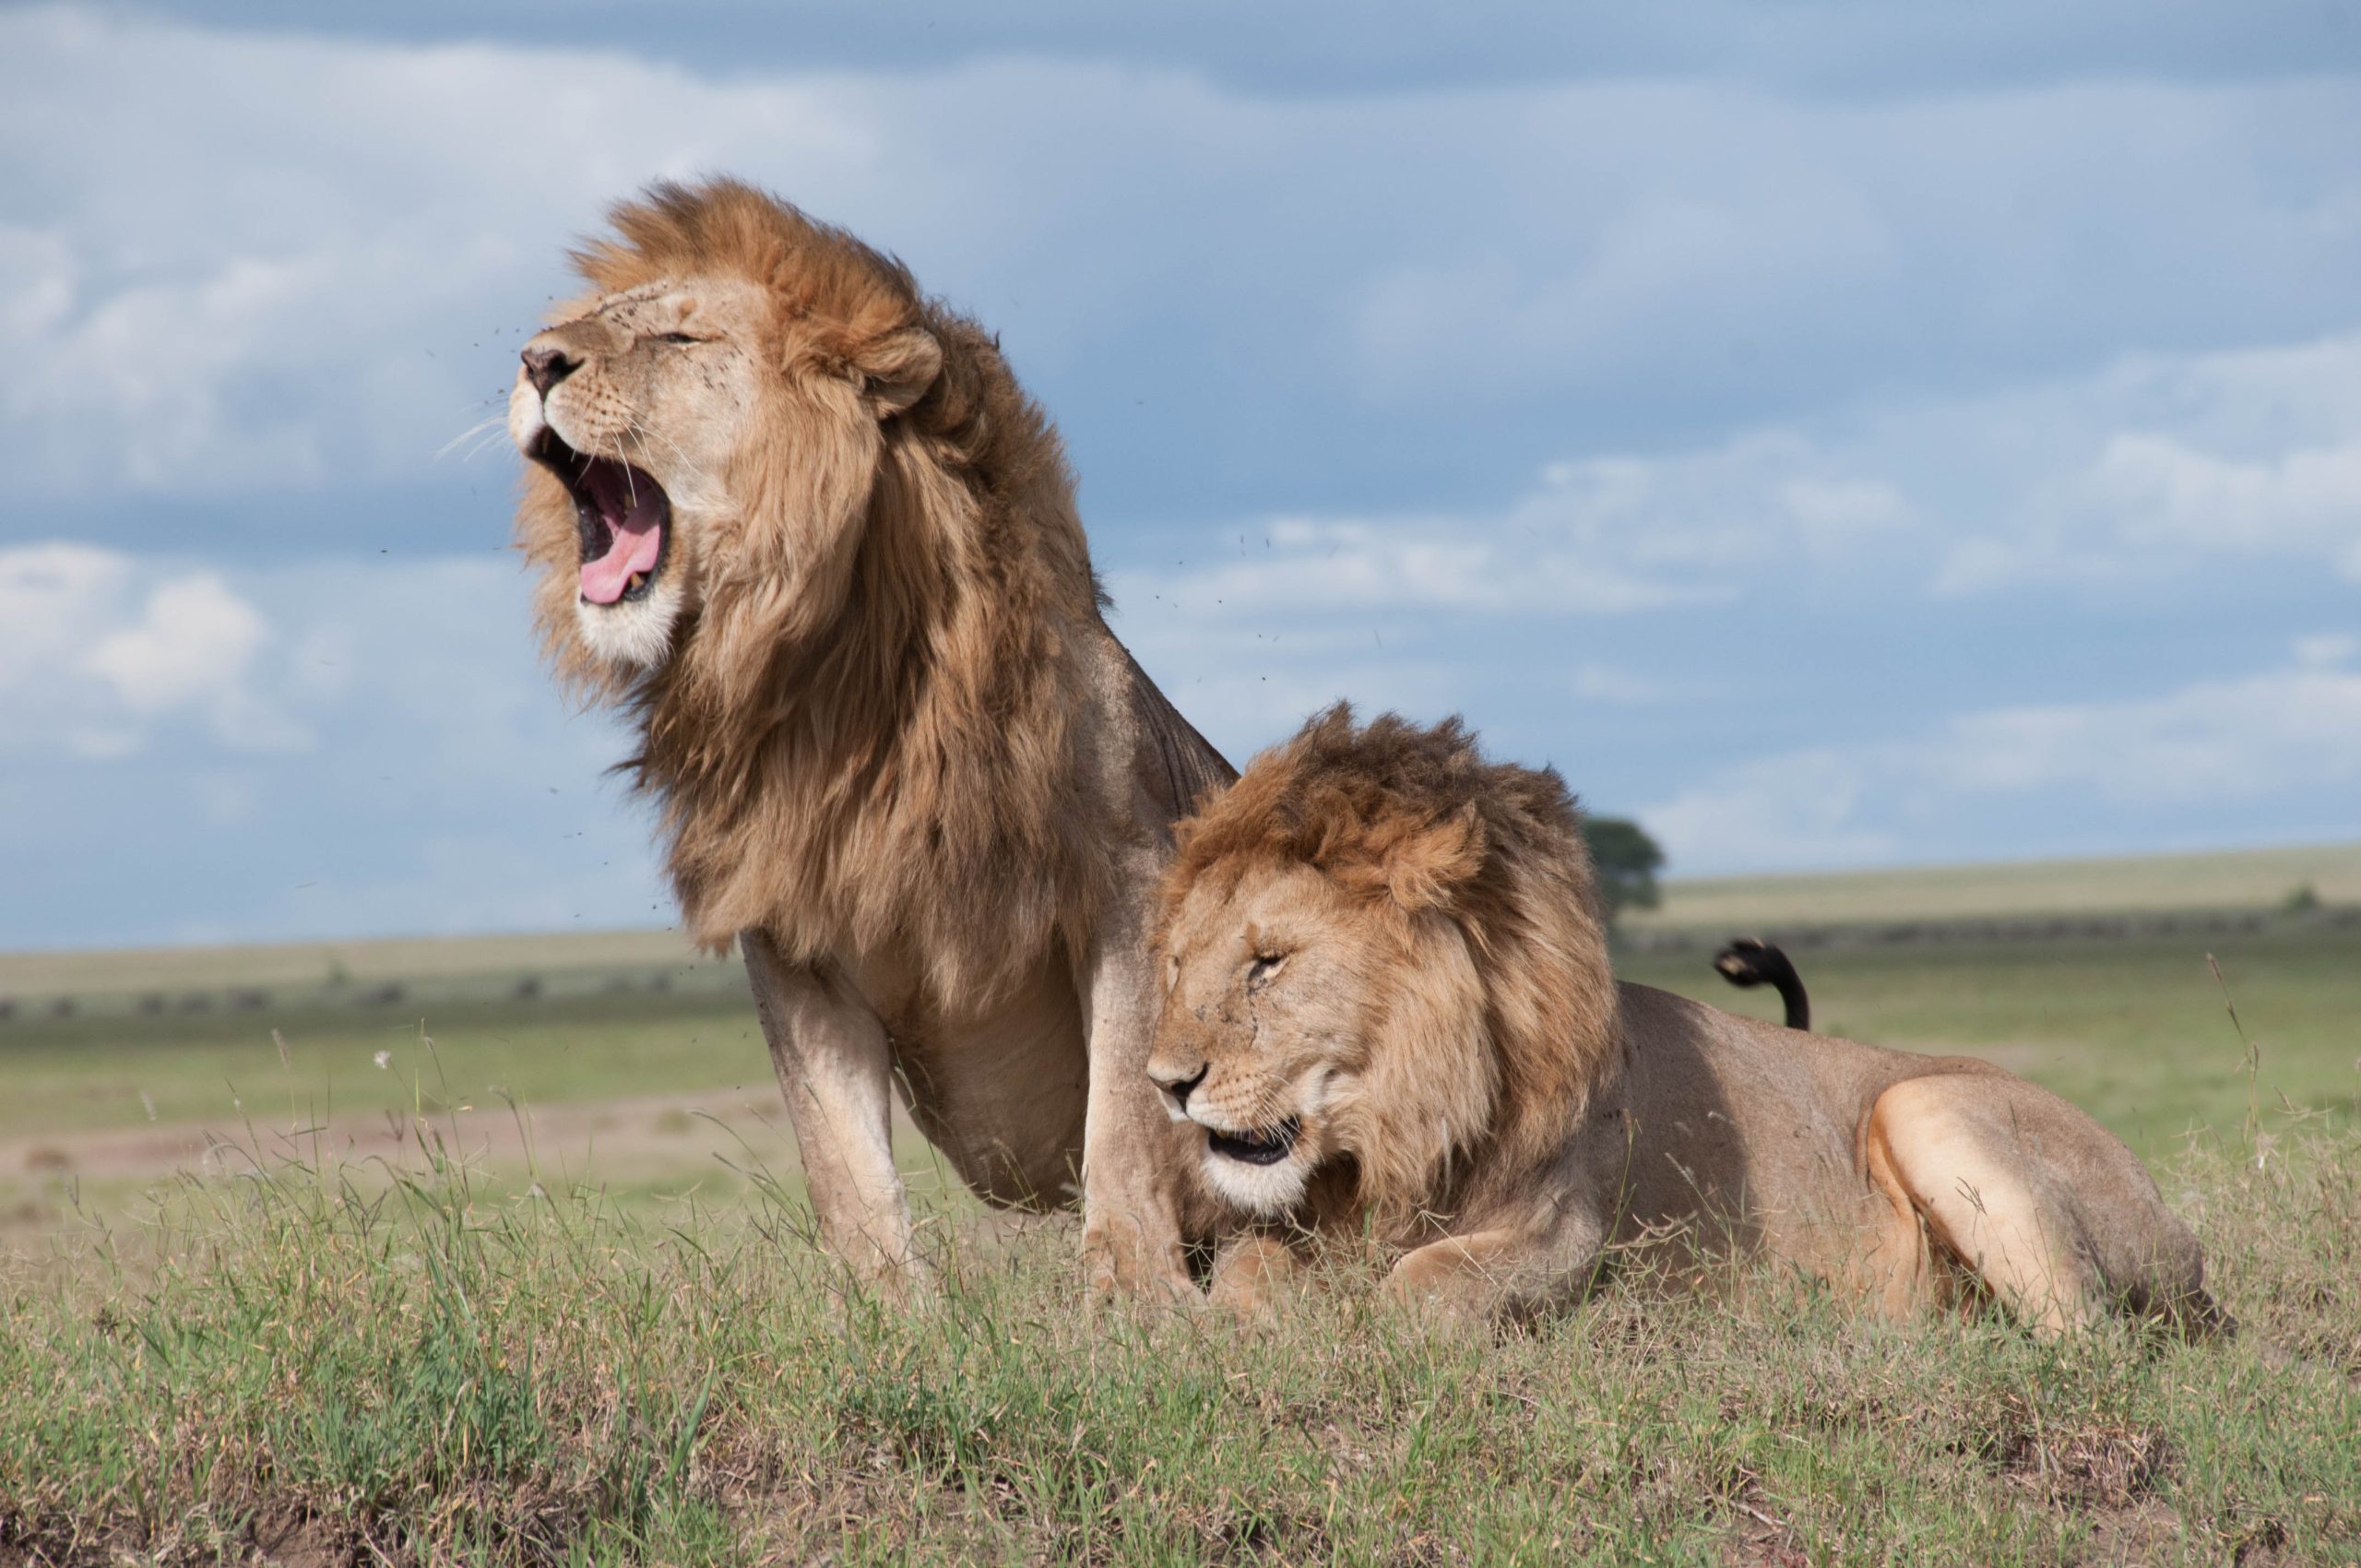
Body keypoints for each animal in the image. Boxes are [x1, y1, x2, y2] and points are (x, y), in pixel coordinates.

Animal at [507, 179, 1229, 1297]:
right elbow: (837, 1150)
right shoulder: (789, 924)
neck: (832, 681)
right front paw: (885, 1306)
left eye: (677, 336)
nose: (535, 360)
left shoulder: (1131, 875)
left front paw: (1133, 1292)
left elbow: (1124, 1111)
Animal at [1146, 707, 2217, 1333]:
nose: (1164, 1084)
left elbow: (1423, 1285)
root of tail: (2184, 1239)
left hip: (1926, 1104)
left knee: (2088, 1344)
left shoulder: (1569, 1233)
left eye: (1269, 963)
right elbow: (1246, 1268)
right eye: (1177, 963)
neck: (1393, 1132)